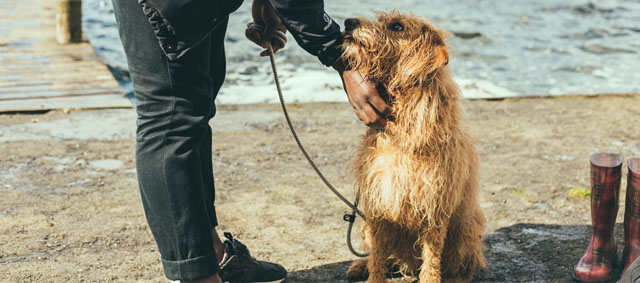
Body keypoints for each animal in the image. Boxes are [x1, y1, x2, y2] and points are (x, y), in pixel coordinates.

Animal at [340, 11, 484, 283]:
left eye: (397, 26)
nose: (348, 22)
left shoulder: (434, 206)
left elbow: (431, 257)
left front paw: (431, 278)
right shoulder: (379, 203)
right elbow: (377, 257)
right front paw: (372, 275)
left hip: (466, 228)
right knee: (384, 255)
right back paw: (360, 265)